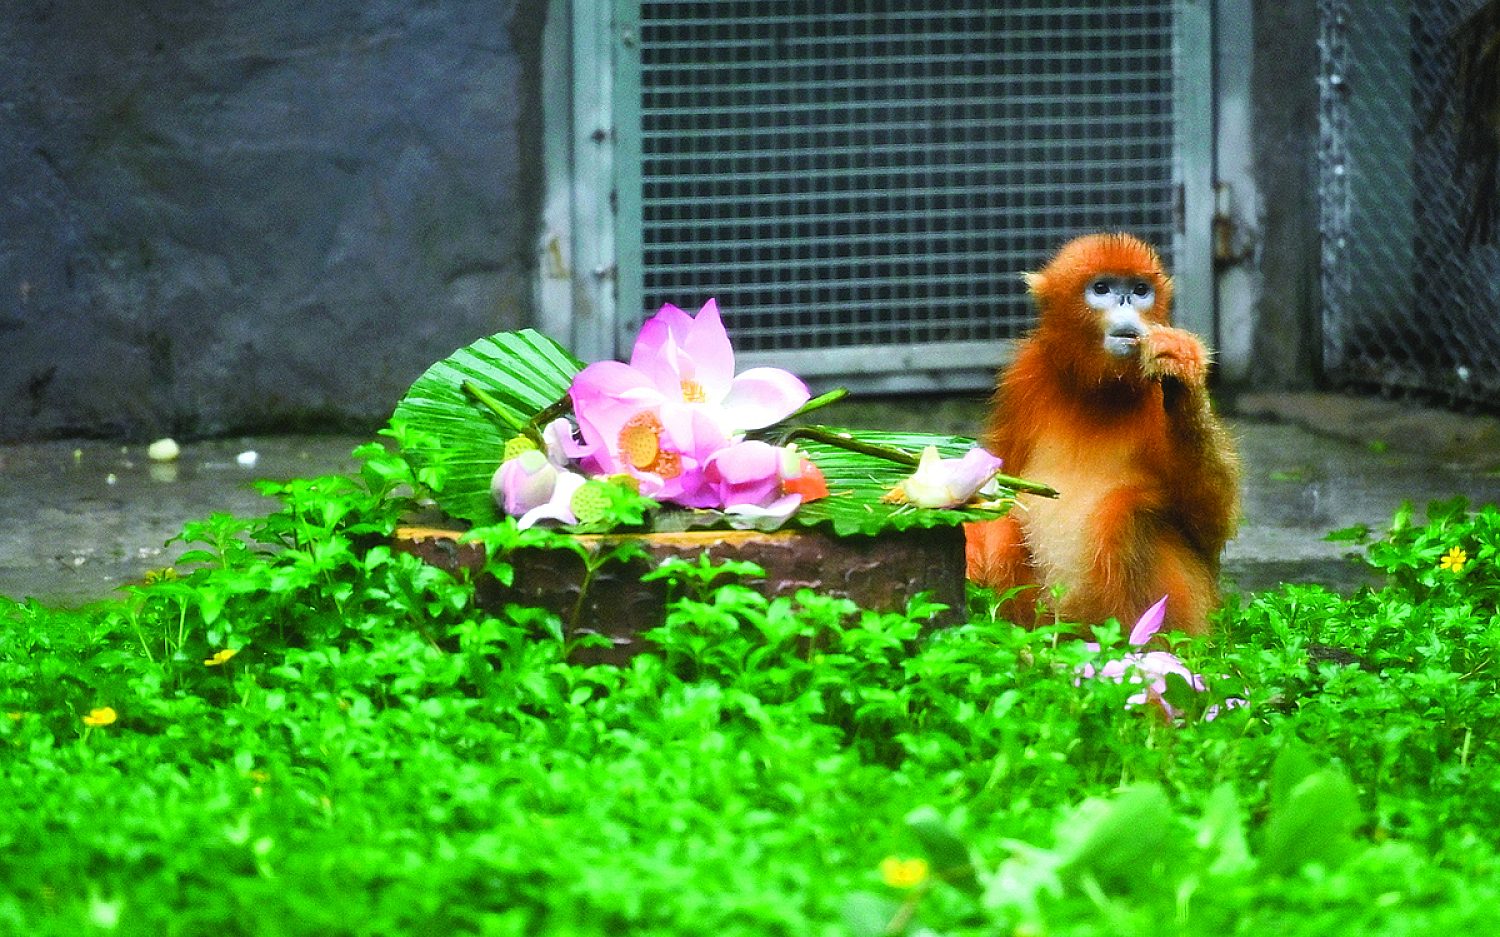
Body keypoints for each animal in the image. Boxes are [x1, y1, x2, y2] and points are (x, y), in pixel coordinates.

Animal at [965, 233, 1240, 636]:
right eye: (1102, 288)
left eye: (1140, 290)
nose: (1126, 301)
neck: (1099, 393)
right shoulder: (1025, 377)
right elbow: (999, 486)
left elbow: (1210, 526)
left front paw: (1183, 370)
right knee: (1005, 532)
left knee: (1123, 512)